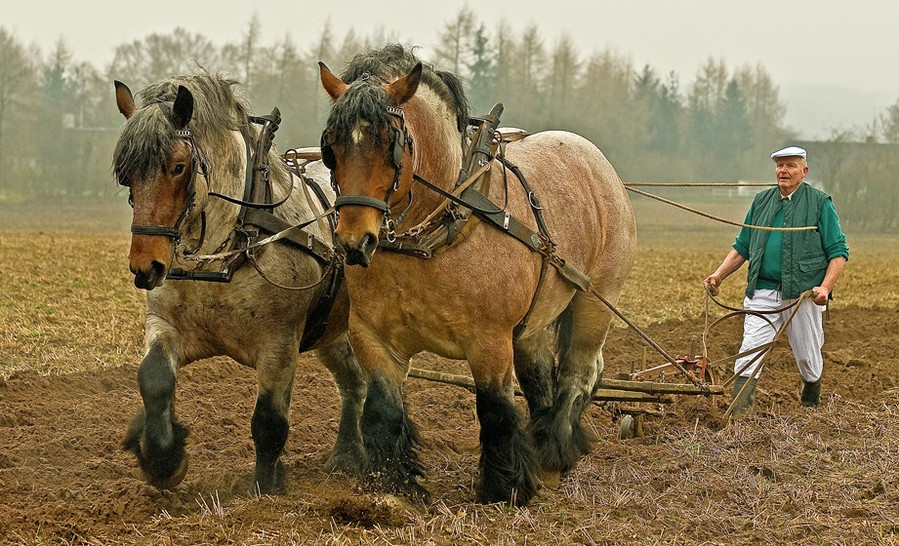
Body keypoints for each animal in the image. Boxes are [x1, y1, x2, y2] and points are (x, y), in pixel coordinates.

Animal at [112, 72, 366, 492]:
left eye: (178, 167)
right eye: (126, 173)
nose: (145, 267)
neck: (226, 249)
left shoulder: (280, 342)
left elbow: (269, 421)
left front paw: (265, 488)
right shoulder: (165, 323)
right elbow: (154, 378)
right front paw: (163, 458)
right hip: (331, 329)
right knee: (352, 379)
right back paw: (346, 454)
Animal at [320, 43, 636, 506]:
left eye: (389, 141)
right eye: (331, 146)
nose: (353, 242)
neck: (432, 236)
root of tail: (595, 160)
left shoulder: (488, 340)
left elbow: (495, 409)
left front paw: (503, 488)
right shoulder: (371, 336)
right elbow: (382, 411)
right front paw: (393, 486)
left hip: (596, 301)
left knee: (580, 371)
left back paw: (554, 455)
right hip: (532, 322)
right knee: (539, 375)